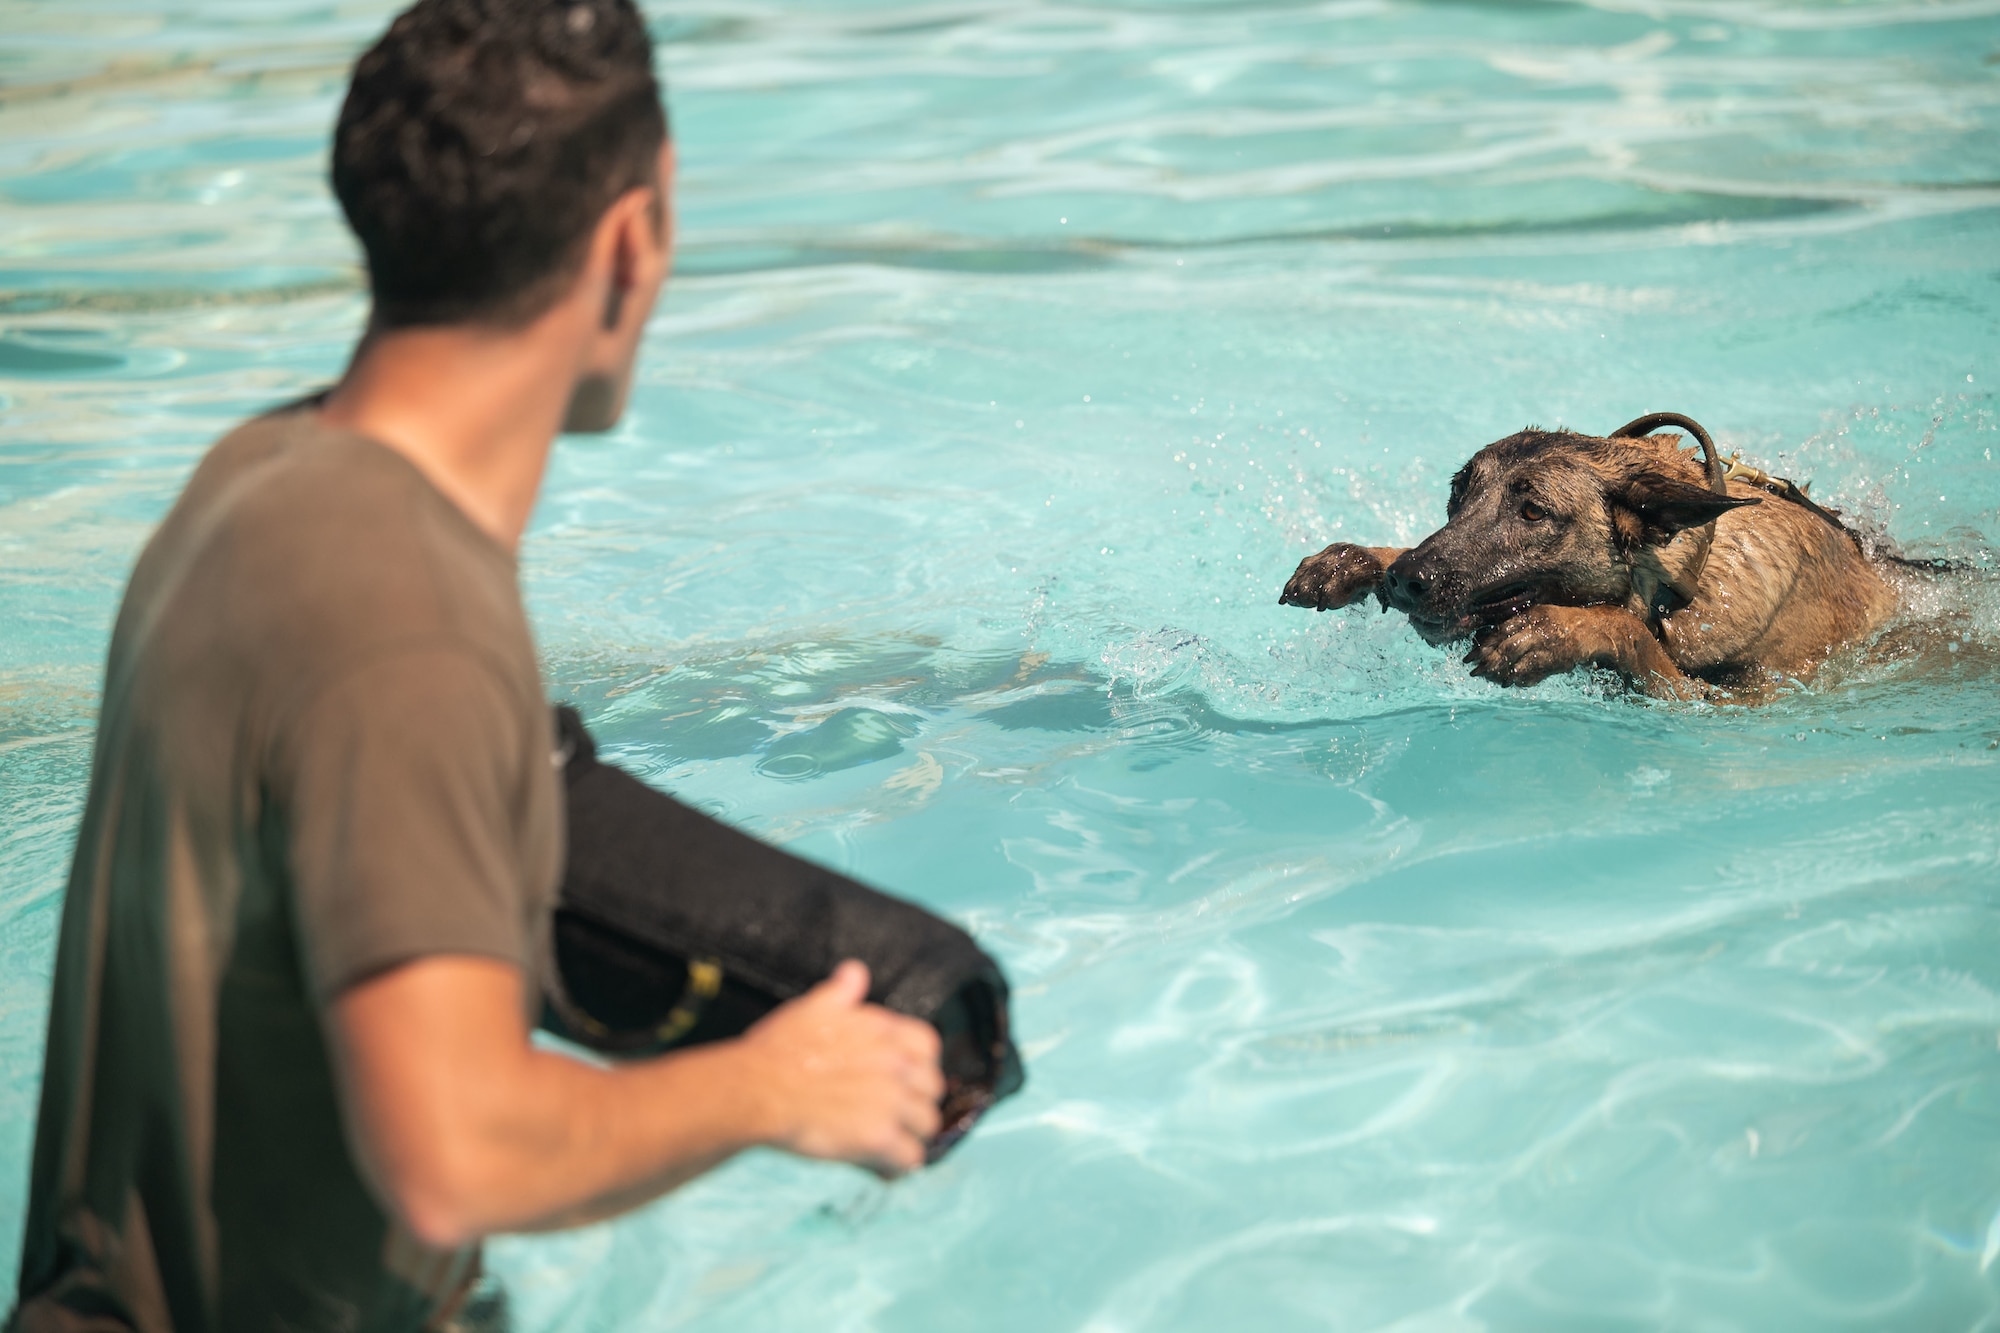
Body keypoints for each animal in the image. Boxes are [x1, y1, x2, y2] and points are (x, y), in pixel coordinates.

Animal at [1280, 412, 1904, 700]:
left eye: (1533, 511)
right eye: (1459, 493)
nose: (1407, 579)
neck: (1679, 585)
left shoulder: (1735, 702)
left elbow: (1632, 637)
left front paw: (1555, 632)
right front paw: (1357, 559)